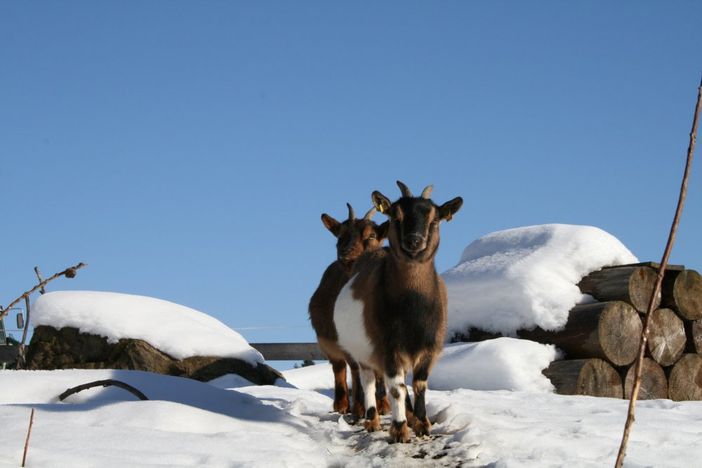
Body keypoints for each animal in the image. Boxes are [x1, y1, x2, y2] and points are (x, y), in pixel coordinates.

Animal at [310, 204, 394, 416]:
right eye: (341, 235)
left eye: (372, 235)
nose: (346, 255)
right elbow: (355, 368)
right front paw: (360, 407)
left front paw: (383, 405)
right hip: (329, 341)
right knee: (340, 368)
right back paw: (342, 405)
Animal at [334, 182, 464, 442]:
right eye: (396, 216)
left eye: (435, 220)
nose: (414, 241)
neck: (413, 310)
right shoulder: (388, 347)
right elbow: (395, 388)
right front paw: (399, 428)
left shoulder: (428, 347)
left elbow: (419, 384)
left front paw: (422, 423)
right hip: (363, 351)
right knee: (369, 380)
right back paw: (372, 420)